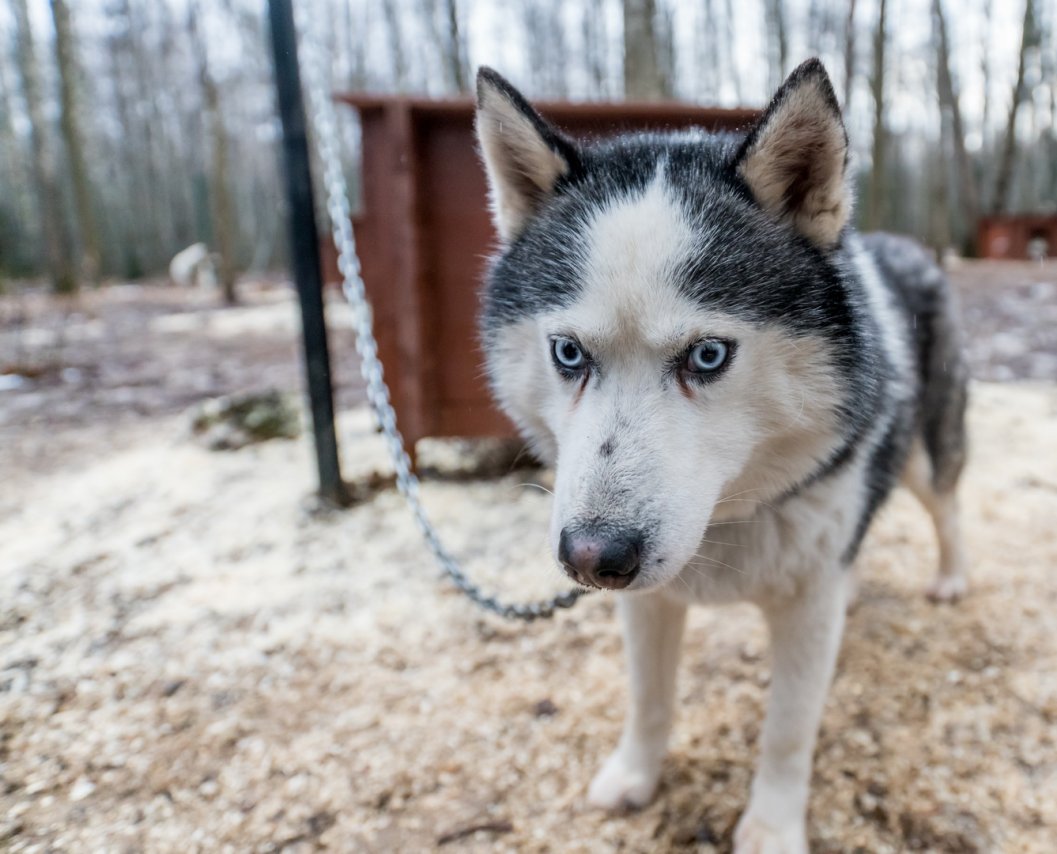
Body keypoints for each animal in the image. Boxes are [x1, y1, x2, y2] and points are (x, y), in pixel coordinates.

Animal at [475, 56, 968, 849]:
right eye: (568, 353)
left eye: (707, 356)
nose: (591, 556)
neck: (727, 522)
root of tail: (903, 244)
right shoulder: (646, 605)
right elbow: (649, 698)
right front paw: (635, 776)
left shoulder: (805, 606)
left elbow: (788, 731)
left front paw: (770, 826)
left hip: (925, 450)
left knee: (945, 504)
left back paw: (951, 577)